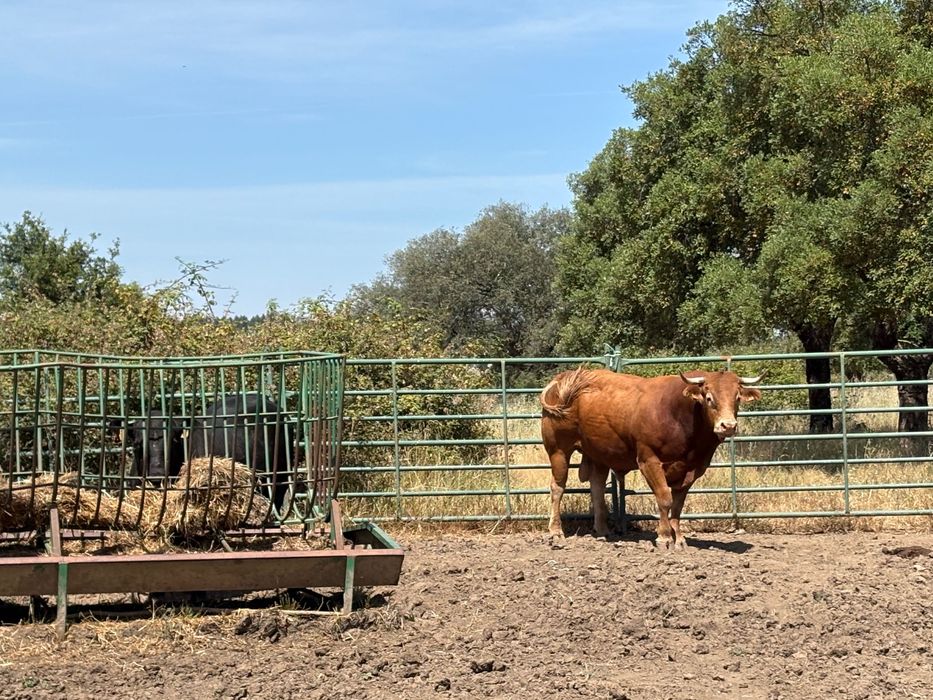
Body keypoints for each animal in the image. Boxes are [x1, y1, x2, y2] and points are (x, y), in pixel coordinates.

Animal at [540, 367, 763, 548]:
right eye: (709, 398)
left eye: (737, 398)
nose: (728, 426)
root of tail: (562, 379)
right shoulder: (649, 460)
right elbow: (664, 497)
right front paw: (664, 537)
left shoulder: (692, 468)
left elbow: (678, 505)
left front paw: (679, 538)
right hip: (558, 450)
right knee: (557, 487)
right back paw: (556, 531)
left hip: (598, 453)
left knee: (597, 487)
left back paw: (602, 530)